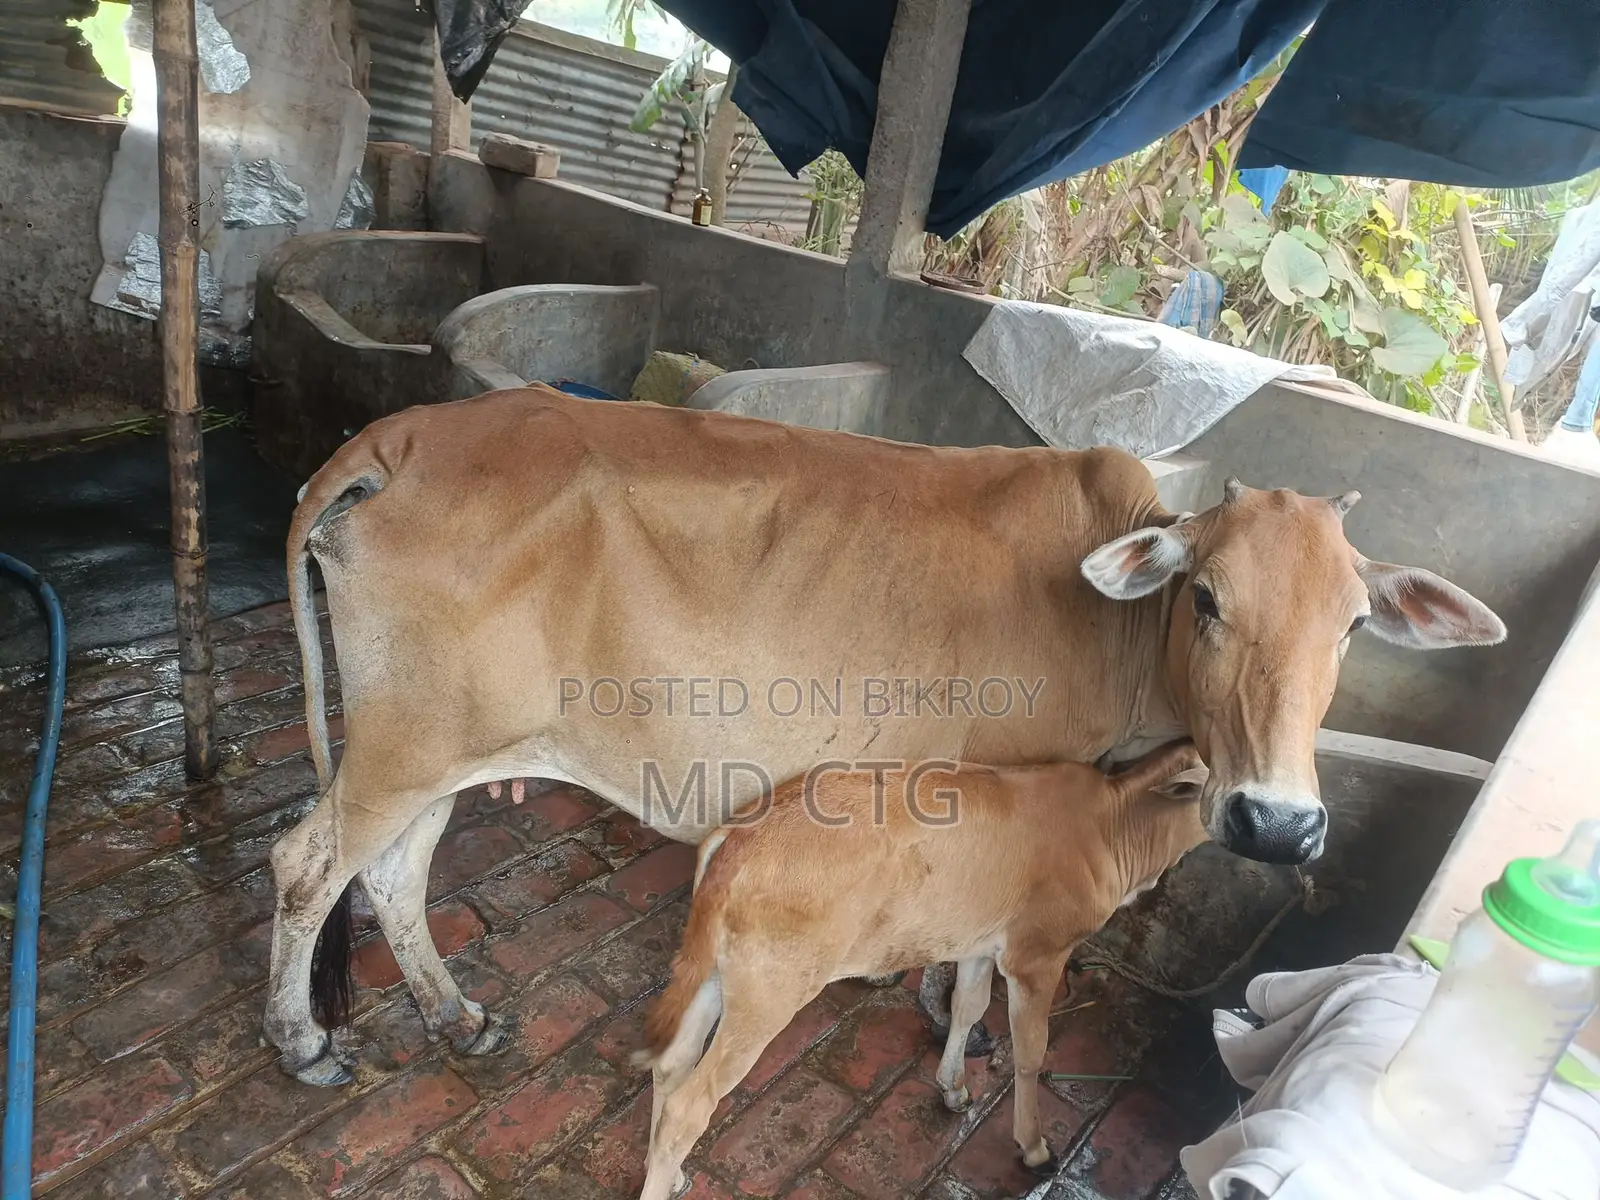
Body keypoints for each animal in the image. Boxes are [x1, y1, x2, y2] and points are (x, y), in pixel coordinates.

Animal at [263, 387, 1505, 1086]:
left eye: (1353, 623)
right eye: (1204, 598)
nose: (1277, 822)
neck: (1115, 620)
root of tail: (399, 435)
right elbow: (977, 954)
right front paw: (957, 1031)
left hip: (449, 745)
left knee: (393, 872)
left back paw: (455, 1017)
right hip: (408, 744)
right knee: (307, 864)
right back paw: (305, 1044)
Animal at [637, 740, 1215, 1199]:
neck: (1113, 827)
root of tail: (738, 836)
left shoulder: (979, 941)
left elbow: (967, 1006)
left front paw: (953, 1087)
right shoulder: (1037, 955)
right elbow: (1031, 1052)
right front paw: (1033, 1147)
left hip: (716, 973)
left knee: (672, 1063)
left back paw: (672, 1173)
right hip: (769, 991)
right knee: (690, 1105)